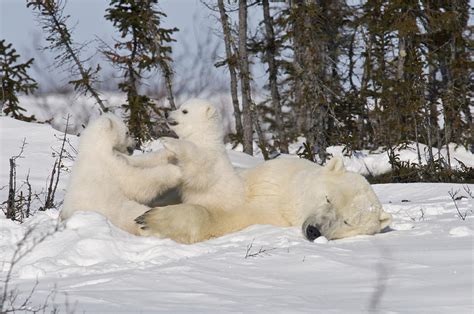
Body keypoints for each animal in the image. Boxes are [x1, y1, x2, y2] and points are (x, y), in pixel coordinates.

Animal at [136, 99, 392, 244]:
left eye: (347, 222)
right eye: (327, 198)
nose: (313, 230)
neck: (287, 196)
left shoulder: (267, 216)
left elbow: (222, 217)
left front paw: (151, 218)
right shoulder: (273, 173)